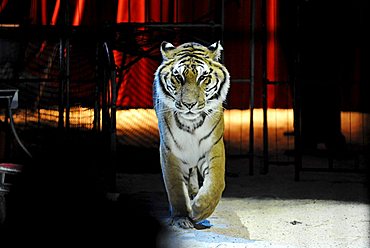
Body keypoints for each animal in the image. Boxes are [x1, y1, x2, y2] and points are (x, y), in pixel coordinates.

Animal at [152, 40, 230, 229]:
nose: (189, 105)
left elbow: (216, 183)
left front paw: (198, 209)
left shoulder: (213, 146)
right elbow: (176, 188)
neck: (191, 124)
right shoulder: (170, 151)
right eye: (178, 77)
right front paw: (181, 217)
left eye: (203, 78)